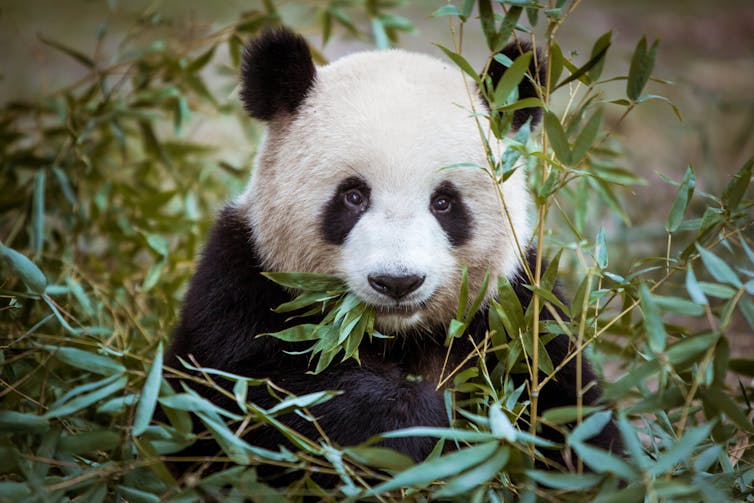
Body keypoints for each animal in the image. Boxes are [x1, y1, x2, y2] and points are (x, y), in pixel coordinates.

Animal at [165, 28, 619, 477]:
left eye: (444, 202)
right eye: (352, 196)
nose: (398, 281)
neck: (394, 335)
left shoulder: (522, 313)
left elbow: (575, 421)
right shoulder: (241, 286)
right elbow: (256, 395)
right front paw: (424, 421)